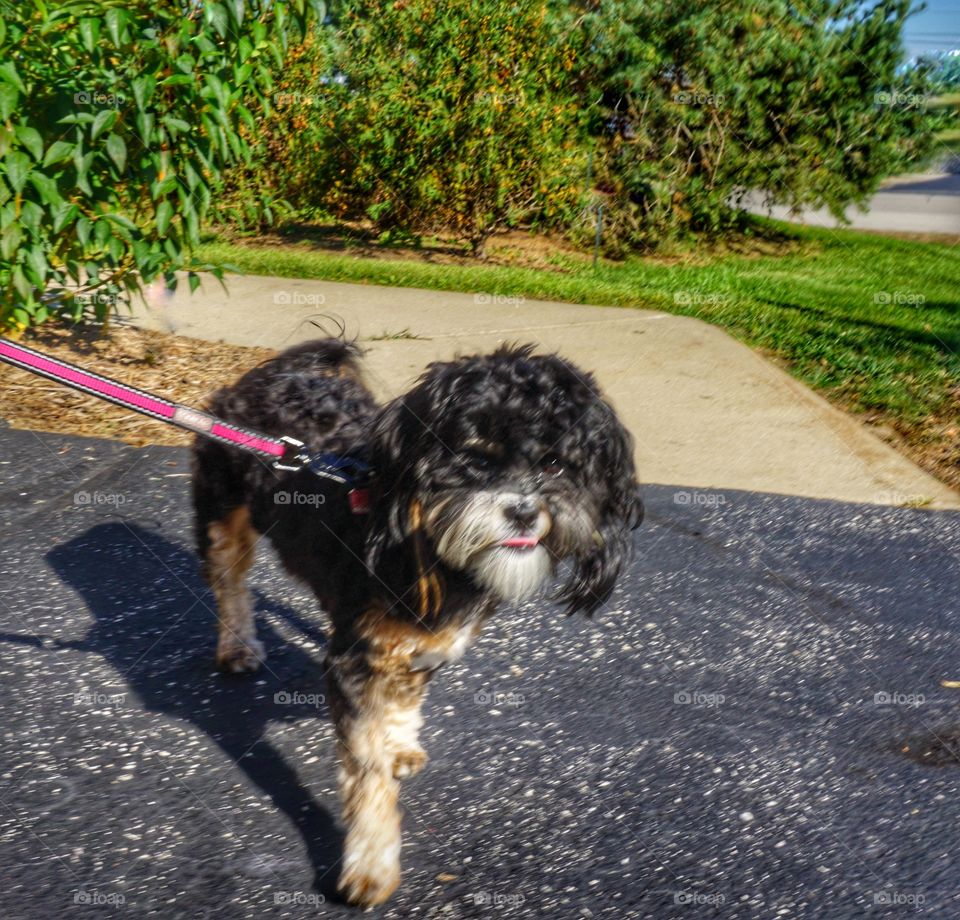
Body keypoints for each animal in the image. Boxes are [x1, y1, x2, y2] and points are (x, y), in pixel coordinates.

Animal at [190, 340, 640, 904]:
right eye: (474, 458)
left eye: (556, 463)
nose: (522, 512)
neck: (430, 547)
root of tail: (276, 374)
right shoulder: (354, 659)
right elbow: (368, 774)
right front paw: (371, 864)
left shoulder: (428, 643)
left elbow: (404, 699)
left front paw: (399, 742)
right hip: (223, 512)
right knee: (229, 580)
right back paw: (236, 645)